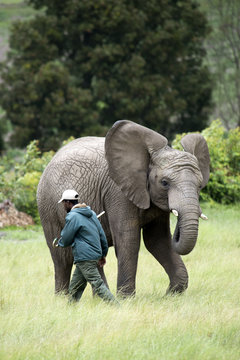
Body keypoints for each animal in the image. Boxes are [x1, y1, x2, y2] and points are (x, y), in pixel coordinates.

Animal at [36, 119, 209, 296]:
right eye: (164, 183)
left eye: (200, 185)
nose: (178, 227)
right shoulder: (118, 192)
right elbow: (129, 239)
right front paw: (127, 298)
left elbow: (157, 240)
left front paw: (171, 295)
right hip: (47, 205)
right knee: (62, 257)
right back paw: (61, 299)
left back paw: (98, 299)